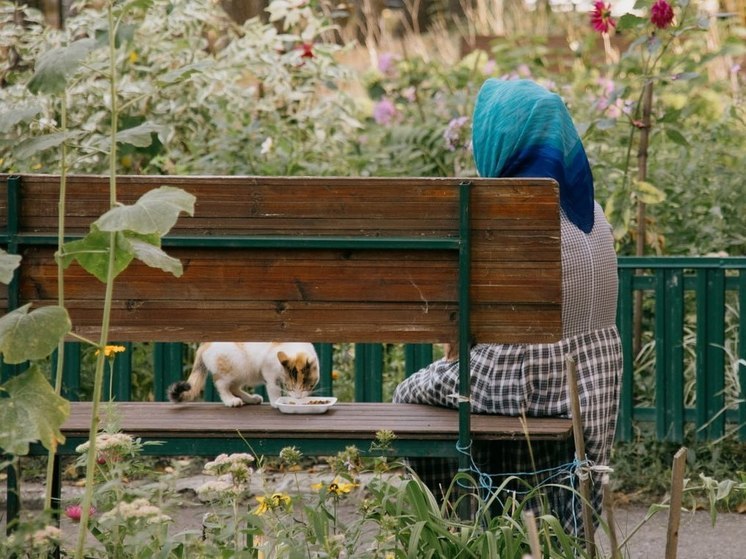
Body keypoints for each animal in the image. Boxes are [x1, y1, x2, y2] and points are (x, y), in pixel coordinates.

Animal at [167, 342, 318, 406]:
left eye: (307, 386)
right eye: (290, 386)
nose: (298, 398)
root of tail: (204, 345)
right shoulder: (268, 370)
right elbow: (273, 388)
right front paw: (276, 402)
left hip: (243, 372)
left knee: (234, 387)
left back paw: (251, 399)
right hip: (231, 367)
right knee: (221, 384)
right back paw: (230, 400)